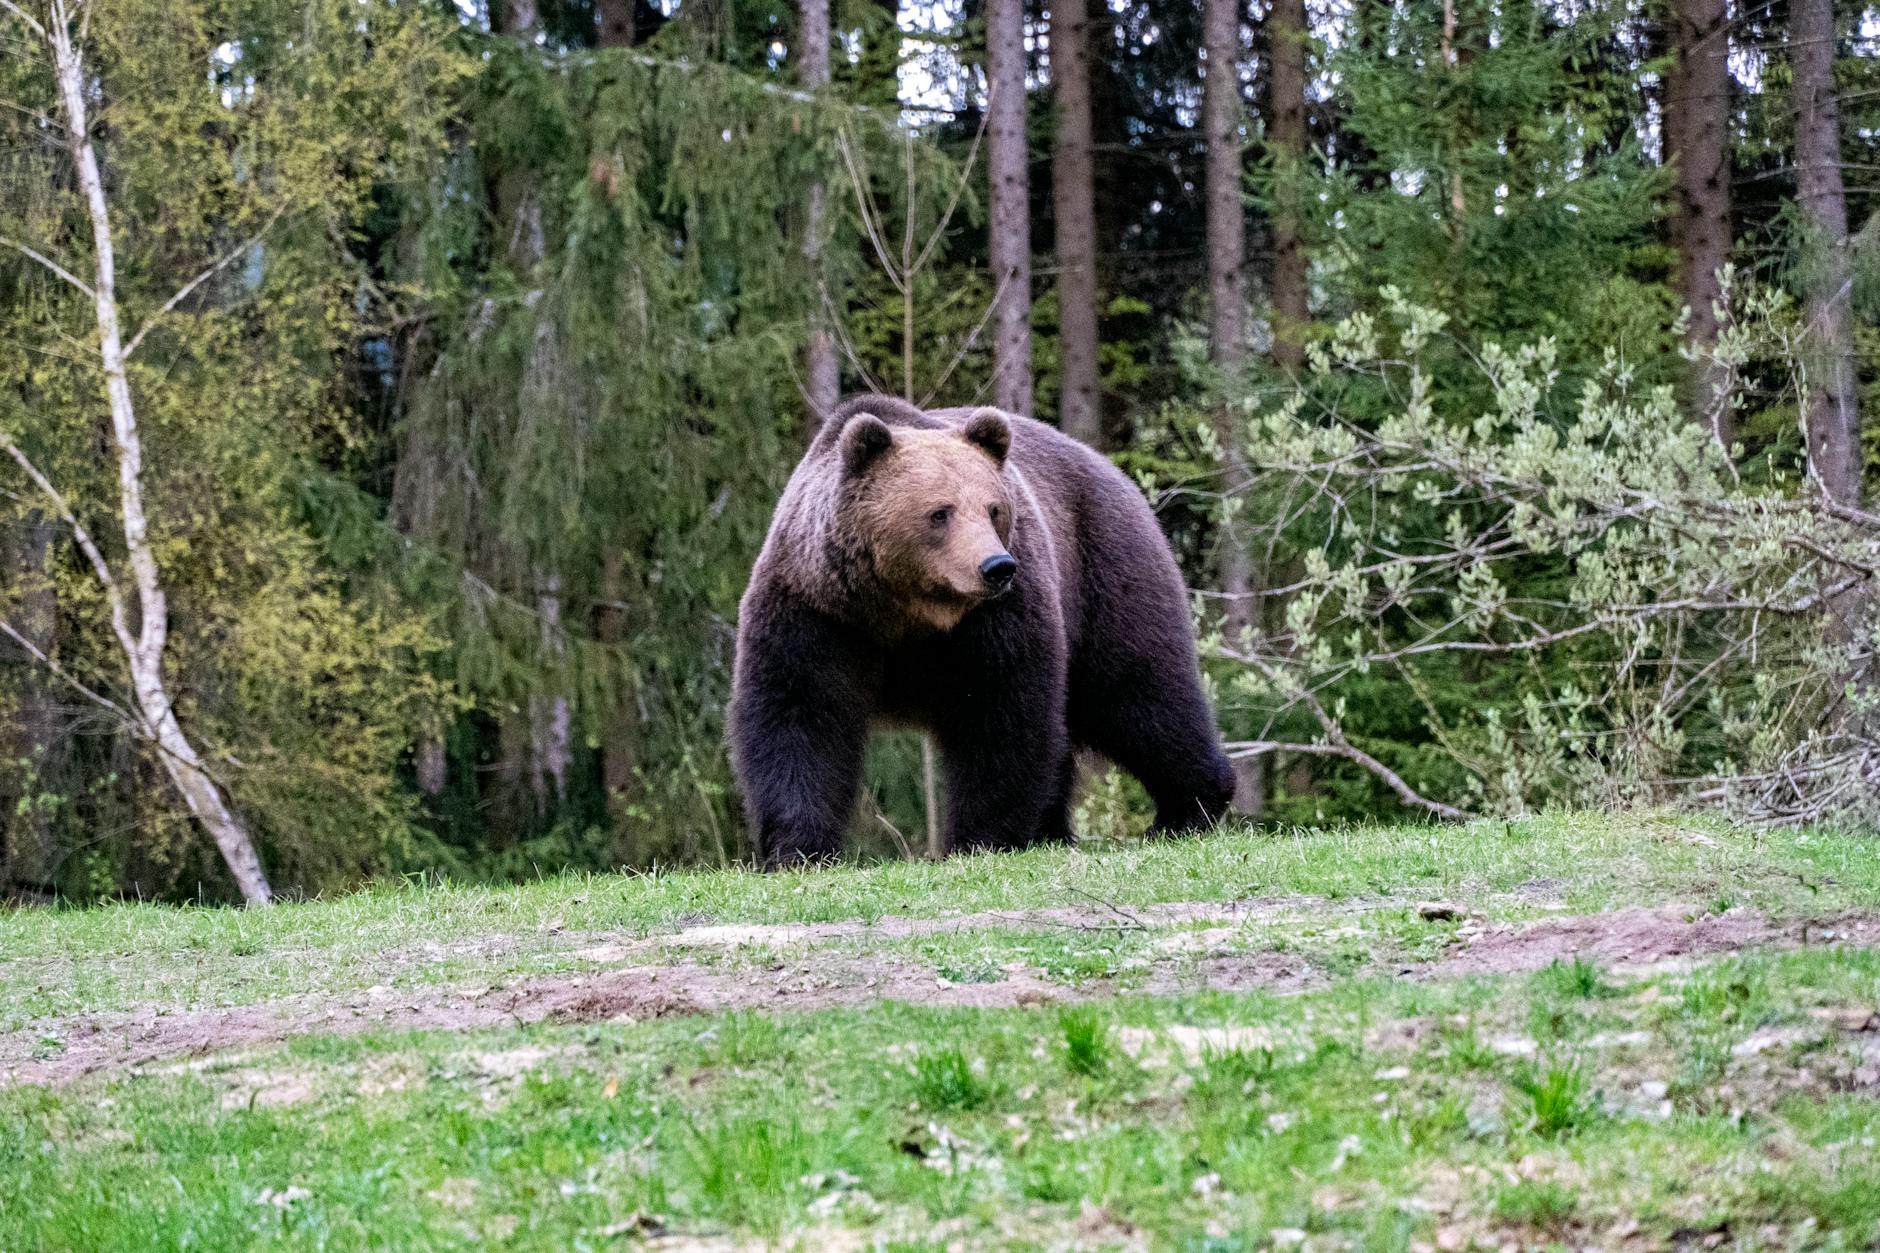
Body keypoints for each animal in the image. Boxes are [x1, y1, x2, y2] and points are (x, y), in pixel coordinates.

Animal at [729, 394, 1235, 866]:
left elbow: (1000, 713)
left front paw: (981, 838)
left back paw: (1187, 810)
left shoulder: (996, 618)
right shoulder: (818, 610)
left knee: (1140, 696)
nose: (995, 566)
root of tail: (1112, 469)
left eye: (993, 509)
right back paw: (1055, 830)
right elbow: (800, 712)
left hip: (1104, 573)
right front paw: (796, 848)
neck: (904, 610)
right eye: (940, 512)